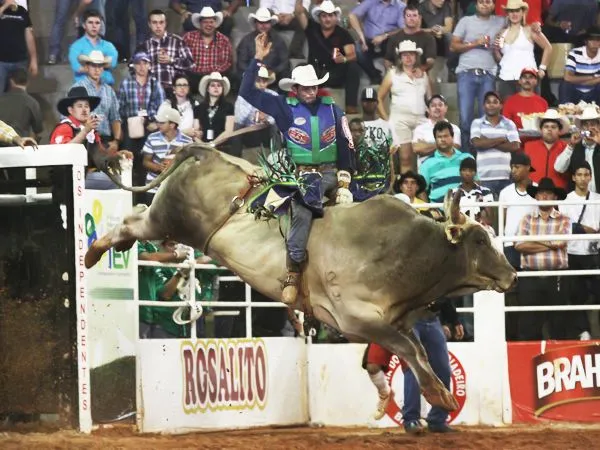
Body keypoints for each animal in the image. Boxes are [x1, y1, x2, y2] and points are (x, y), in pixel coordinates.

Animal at [84, 142, 516, 412]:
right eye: (480, 239)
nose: (511, 275)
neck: (403, 250)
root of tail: (204, 152)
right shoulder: (353, 318)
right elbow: (410, 350)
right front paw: (440, 395)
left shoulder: (390, 321)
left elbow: (411, 351)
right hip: (167, 218)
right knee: (133, 219)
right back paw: (93, 250)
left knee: (136, 213)